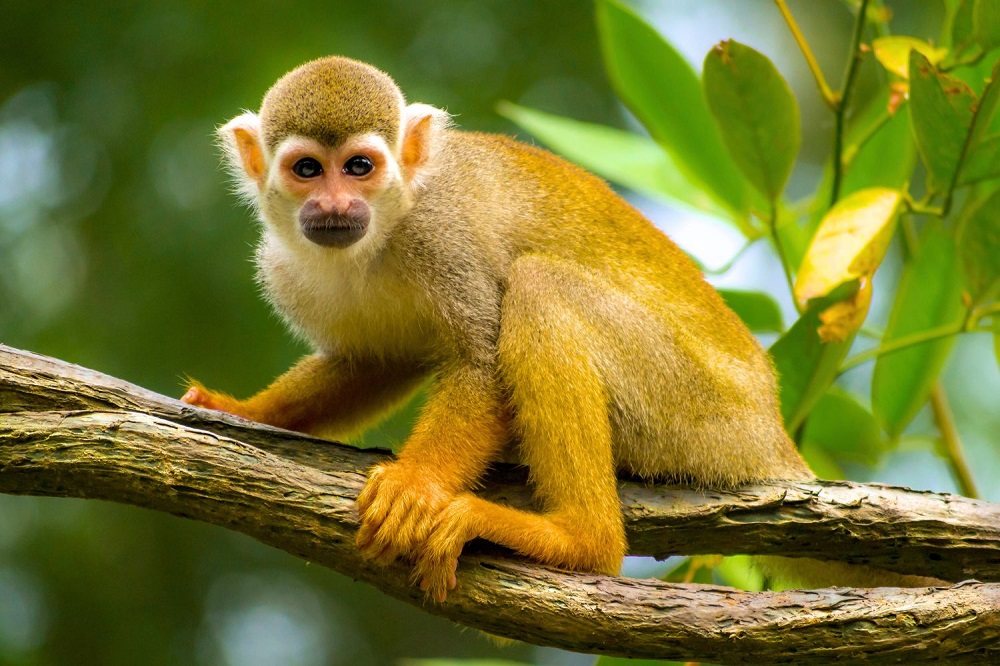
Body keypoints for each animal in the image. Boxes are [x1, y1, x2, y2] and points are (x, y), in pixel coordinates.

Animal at [183, 56, 942, 601]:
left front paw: (417, 486)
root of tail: (771, 433)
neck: (382, 233)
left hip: (696, 406)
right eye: (308, 170)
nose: (335, 207)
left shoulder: (441, 236)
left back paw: (578, 539)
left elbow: (482, 362)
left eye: (360, 167)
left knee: (540, 288)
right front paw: (244, 410)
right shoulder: (283, 267)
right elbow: (373, 362)